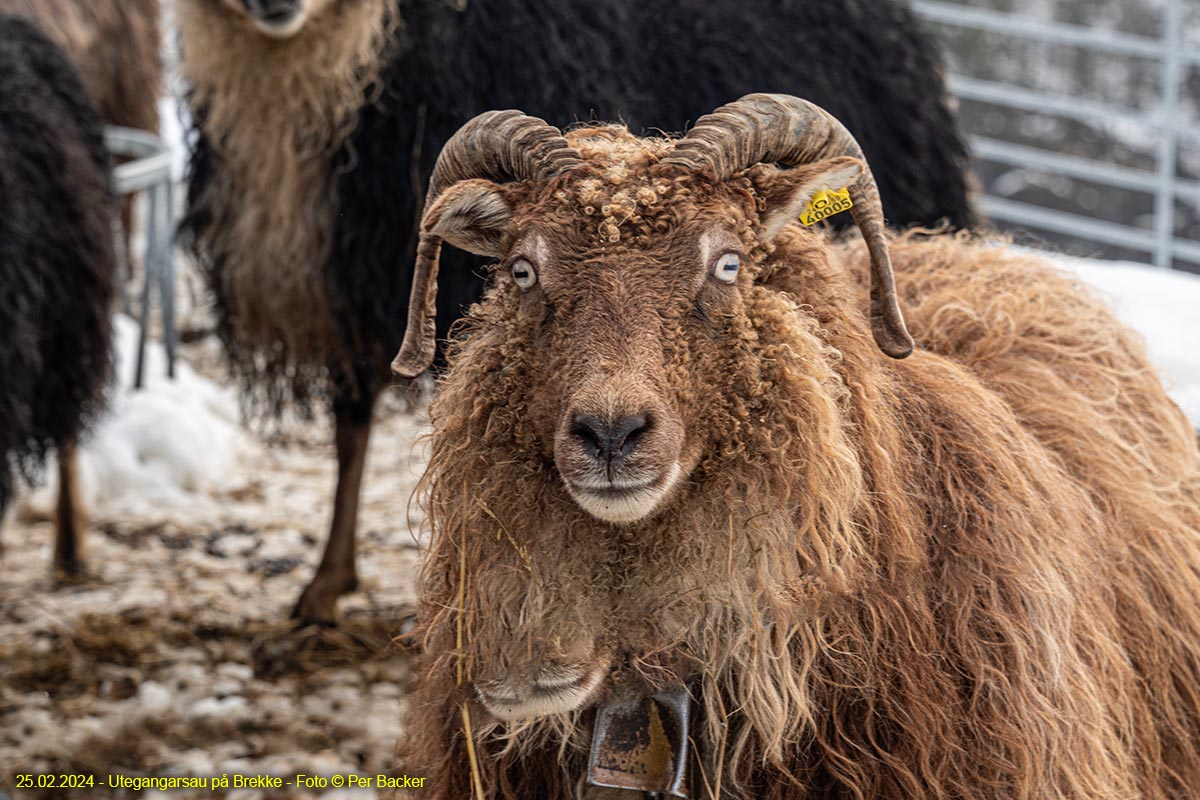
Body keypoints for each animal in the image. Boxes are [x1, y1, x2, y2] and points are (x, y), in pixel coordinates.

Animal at [174, 0, 969, 623]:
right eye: (521, 269)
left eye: (730, 263)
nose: (612, 432)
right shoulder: (354, 295)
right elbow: (349, 430)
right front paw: (325, 586)